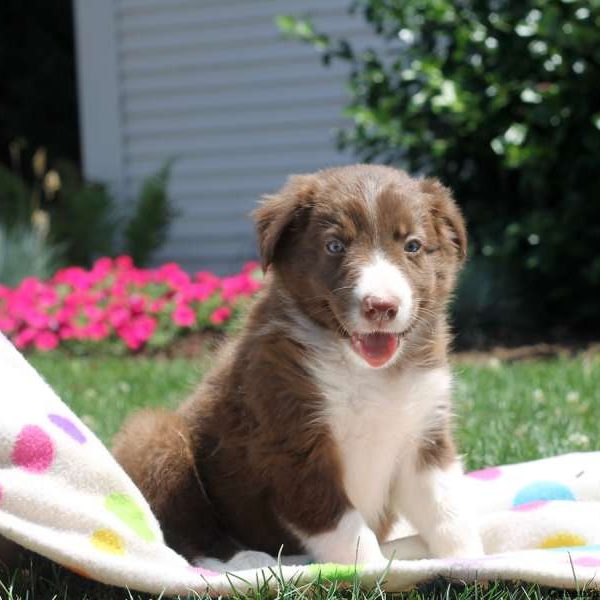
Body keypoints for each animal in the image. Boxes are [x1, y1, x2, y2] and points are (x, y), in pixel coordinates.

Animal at [113, 165, 482, 568]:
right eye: (335, 246)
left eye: (412, 245)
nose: (381, 306)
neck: (366, 371)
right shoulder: (293, 444)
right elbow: (347, 528)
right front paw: (373, 571)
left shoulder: (423, 435)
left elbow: (447, 510)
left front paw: (471, 559)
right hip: (156, 438)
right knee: (183, 534)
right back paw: (243, 561)